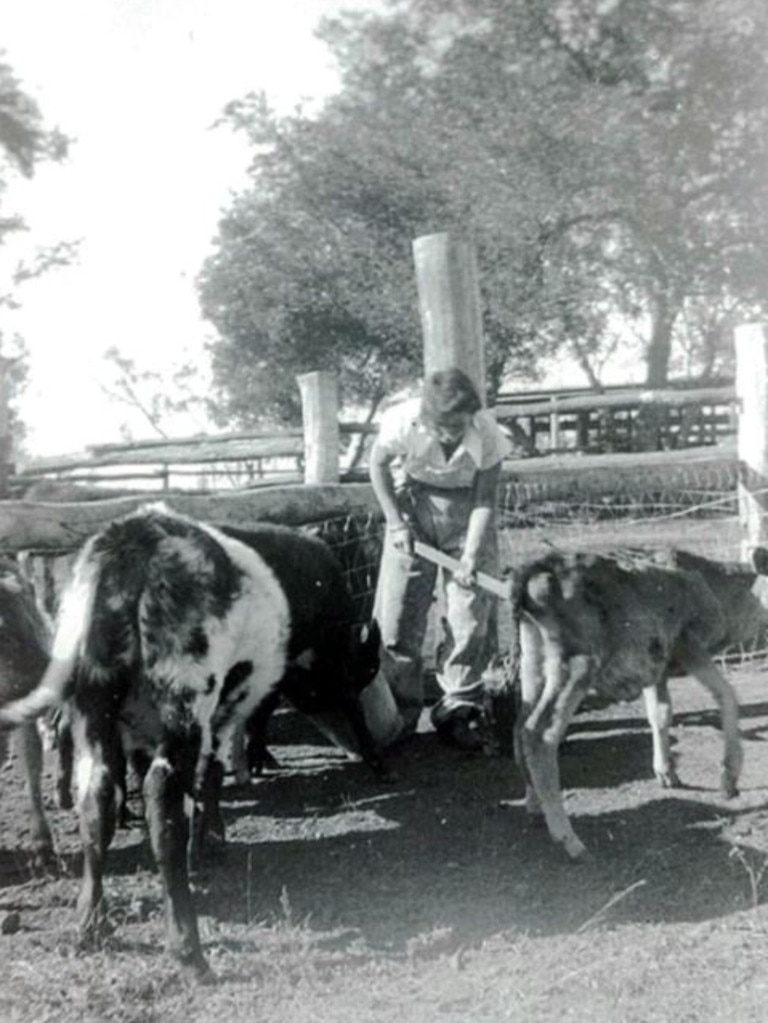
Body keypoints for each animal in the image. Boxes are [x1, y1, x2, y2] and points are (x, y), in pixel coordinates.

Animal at [0, 507, 384, 977]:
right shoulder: (229, 707)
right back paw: (187, 947)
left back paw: (90, 925)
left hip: (93, 706)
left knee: (97, 800)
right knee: (163, 802)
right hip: (183, 698)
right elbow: (214, 771)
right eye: (355, 676)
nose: (368, 753)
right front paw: (211, 839)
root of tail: (134, 536)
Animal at [505, 548, 764, 859]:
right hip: (578, 661)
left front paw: (667, 773)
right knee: (539, 733)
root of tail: (534, 570)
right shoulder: (686, 641)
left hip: (532, 658)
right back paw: (568, 838)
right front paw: (729, 779)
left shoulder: (656, 666)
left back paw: (534, 803)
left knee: (519, 723)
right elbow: (726, 695)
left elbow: (660, 713)